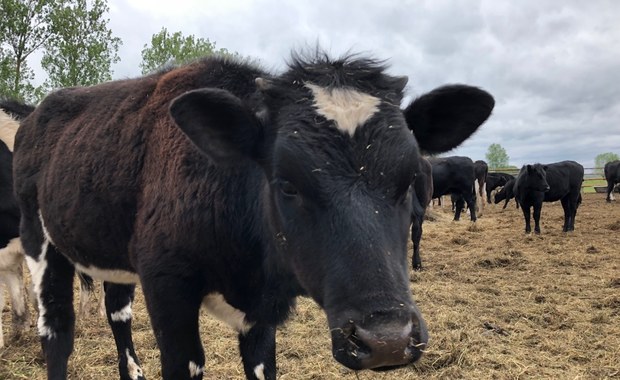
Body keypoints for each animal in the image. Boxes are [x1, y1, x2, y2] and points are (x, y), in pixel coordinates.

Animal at [13, 51, 494, 380]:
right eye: (286, 183)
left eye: (410, 178)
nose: (387, 340)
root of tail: (36, 111)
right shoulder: (167, 287)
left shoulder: (261, 320)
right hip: (39, 240)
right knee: (57, 331)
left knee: (118, 314)